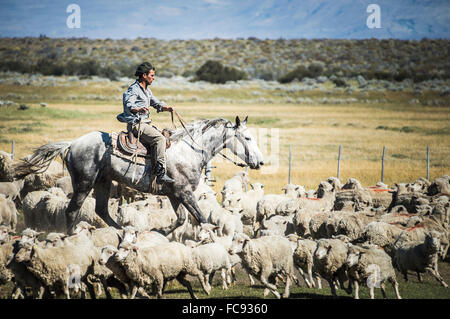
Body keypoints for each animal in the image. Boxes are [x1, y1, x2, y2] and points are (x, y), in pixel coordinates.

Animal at [15, 116, 264, 234]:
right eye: (247, 138)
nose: (260, 162)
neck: (190, 150)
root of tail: (73, 143)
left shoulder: (175, 194)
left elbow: (181, 219)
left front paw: (160, 231)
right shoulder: (185, 193)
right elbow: (202, 218)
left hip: (103, 183)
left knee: (102, 210)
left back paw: (122, 230)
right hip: (84, 184)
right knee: (72, 211)